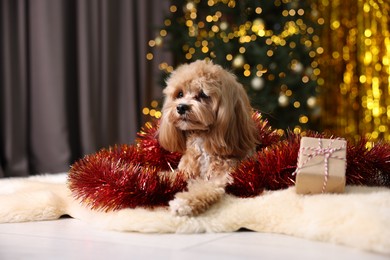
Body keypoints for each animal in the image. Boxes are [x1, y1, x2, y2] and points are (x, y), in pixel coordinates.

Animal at [157, 60, 258, 216]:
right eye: (179, 94)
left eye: (203, 94)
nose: (181, 107)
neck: (202, 139)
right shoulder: (184, 171)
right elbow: (170, 175)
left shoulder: (220, 178)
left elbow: (203, 188)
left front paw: (184, 202)